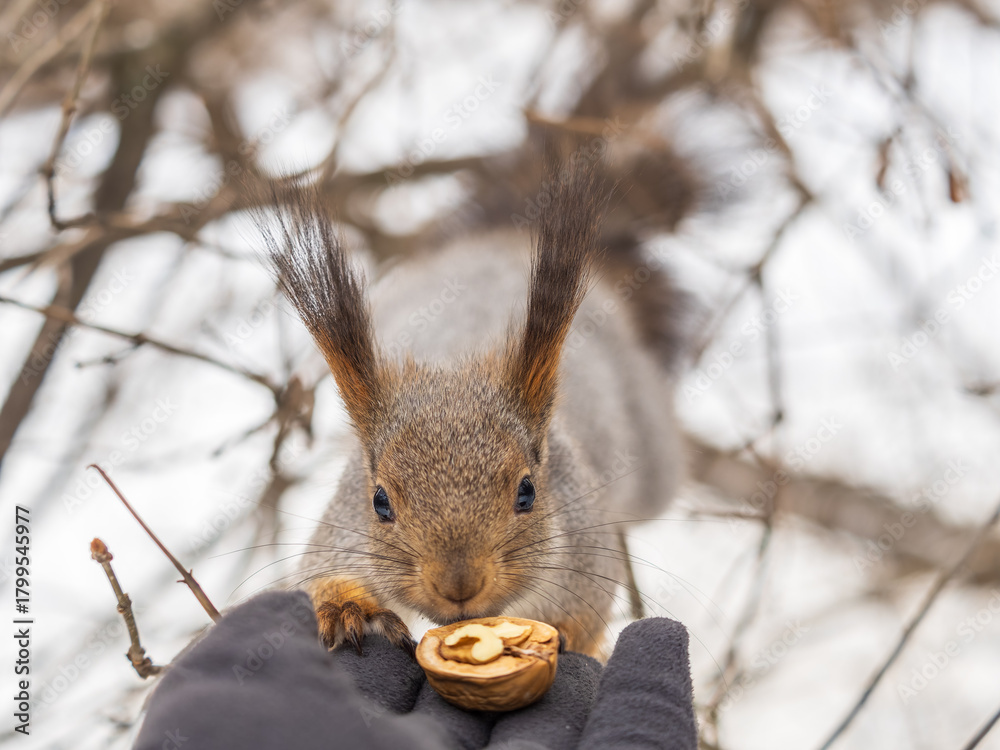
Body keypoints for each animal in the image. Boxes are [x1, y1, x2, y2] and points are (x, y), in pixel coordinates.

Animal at [261, 154, 684, 659]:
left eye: (527, 492)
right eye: (380, 502)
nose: (458, 584)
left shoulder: (585, 546)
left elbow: (587, 608)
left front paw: (559, 635)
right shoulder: (345, 522)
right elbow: (317, 571)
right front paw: (349, 610)